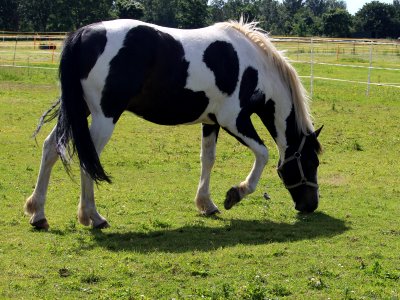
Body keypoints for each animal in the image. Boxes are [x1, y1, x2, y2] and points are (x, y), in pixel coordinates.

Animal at [25, 18, 324, 230]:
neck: (252, 67)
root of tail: (83, 35)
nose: (310, 205)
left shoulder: (211, 123)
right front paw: (234, 194)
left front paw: (206, 204)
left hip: (78, 111)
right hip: (103, 117)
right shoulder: (234, 120)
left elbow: (208, 159)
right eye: (312, 162)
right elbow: (263, 154)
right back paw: (93, 217)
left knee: (51, 148)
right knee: (88, 159)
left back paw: (38, 214)